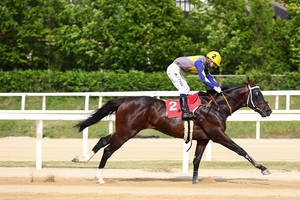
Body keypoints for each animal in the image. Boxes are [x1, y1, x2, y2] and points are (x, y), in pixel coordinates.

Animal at [72, 77, 272, 184]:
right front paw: (263, 168)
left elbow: (196, 159)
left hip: (123, 130)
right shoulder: (218, 135)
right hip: (127, 132)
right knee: (108, 149)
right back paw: (99, 177)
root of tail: (125, 99)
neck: (216, 106)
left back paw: (81, 159)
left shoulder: (204, 138)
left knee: (102, 141)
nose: (268, 111)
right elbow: (241, 150)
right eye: (257, 94)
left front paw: (195, 181)